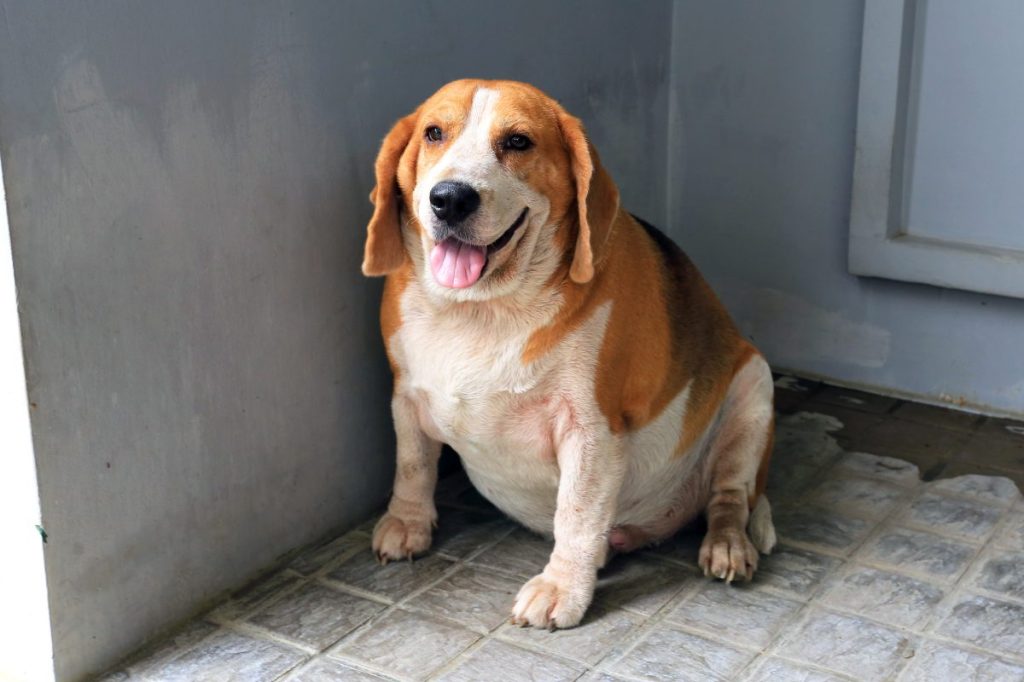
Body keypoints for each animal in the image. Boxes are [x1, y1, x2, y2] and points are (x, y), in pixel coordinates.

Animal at [364, 78, 770, 626]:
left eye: (517, 141)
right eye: (433, 133)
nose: (449, 199)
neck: (480, 310)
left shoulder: (591, 430)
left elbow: (576, 514)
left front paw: (561, 588)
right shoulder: (405, 396)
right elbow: (412, 466)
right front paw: (407, 523)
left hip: (754, 391)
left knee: (731, 499)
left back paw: (727, 545)